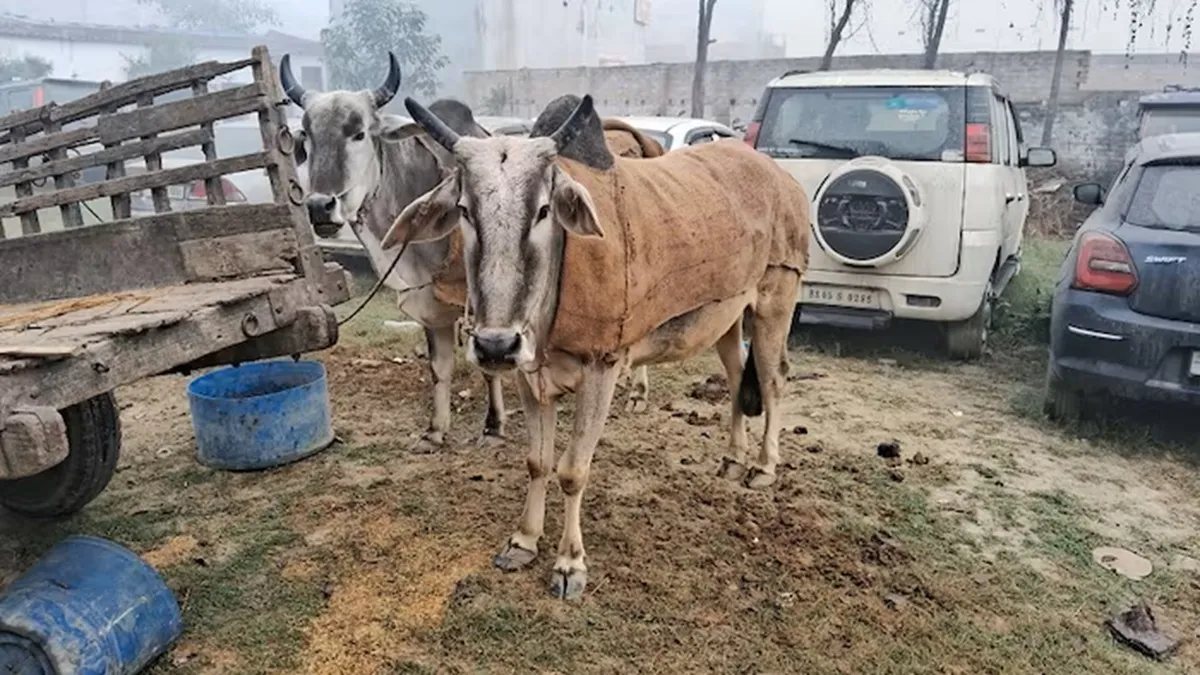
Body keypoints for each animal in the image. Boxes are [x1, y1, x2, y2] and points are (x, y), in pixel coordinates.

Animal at [380, 93, 810, 600]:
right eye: (465, 210)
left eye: (544, 210)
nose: (494, 345)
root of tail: (779, 175)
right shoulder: (529, 374)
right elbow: (537, 462)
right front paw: (523, 541)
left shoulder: (601, 370)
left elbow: (572, 471)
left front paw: (569, 563)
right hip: (726, 316)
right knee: (736, 373)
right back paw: (731, 458)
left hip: (776, 297)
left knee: (773, 378)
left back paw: (763, 466)